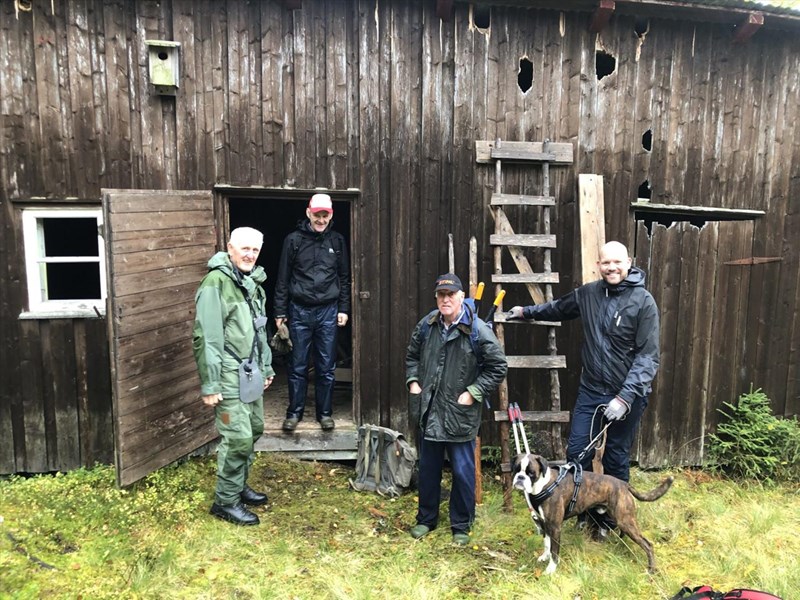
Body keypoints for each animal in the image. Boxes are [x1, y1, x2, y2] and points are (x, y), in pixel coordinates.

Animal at [510, 454, 672, 576]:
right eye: (516, 470)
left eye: (531, 473)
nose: (520, 478)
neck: (543, 485)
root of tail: (624, 484)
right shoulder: (544, 523)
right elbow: (547, 543)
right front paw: (545, 556)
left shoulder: (555, 527)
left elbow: (555, 551)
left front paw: (551, 569)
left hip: (626, 521)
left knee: (648, 545)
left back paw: (651, 570)